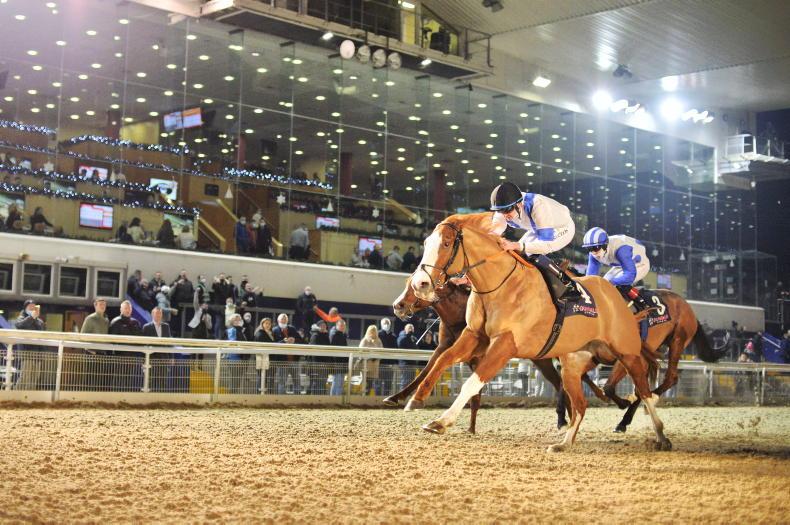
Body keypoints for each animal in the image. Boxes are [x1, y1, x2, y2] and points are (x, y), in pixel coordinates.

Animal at [388, 279, 607, 432]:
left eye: (416, 285)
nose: (397, 305)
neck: (457, 315)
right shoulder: (445, 347)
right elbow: (427, 371)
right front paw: (398, 398)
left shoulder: (478, 356)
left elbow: (474, 390)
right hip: (542, 359)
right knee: (561, 381)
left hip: (544, 358)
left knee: (565, 380)